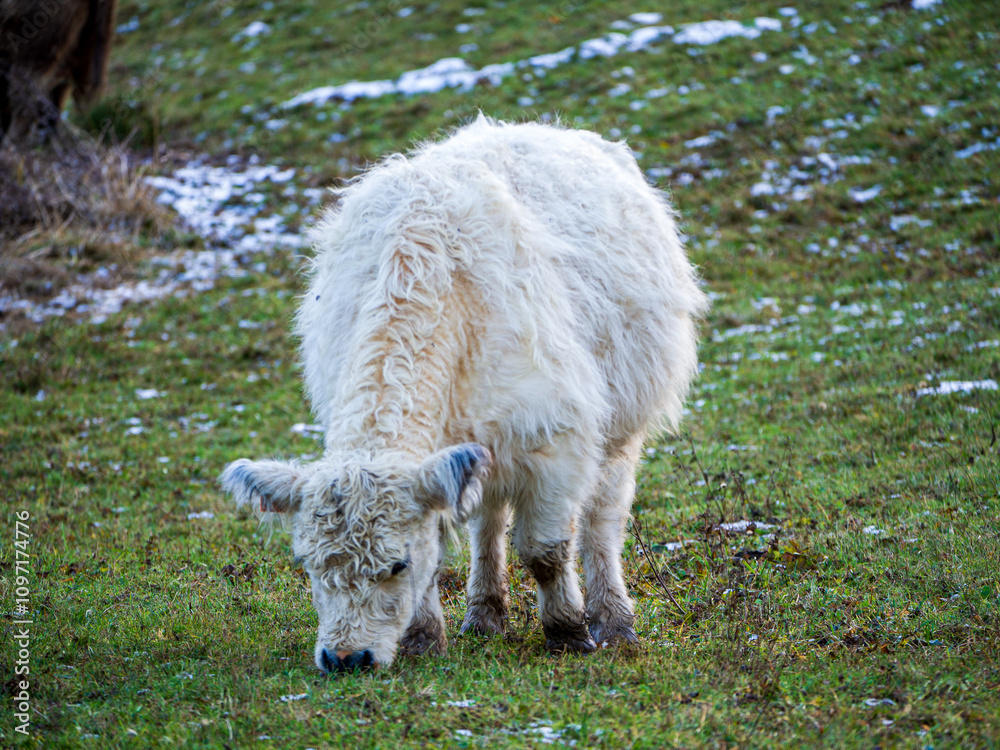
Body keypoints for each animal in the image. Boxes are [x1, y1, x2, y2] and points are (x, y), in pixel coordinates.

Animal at [221, 117, 709, 674]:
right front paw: (423, 637)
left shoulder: (556, 440)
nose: (347, 657)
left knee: (602, 521)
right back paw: (484, 612)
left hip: (622, 427)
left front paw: (567, 631)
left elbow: (546, 552)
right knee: (488, 520)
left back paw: (613, 620)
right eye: (308, 564)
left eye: (397, 564)